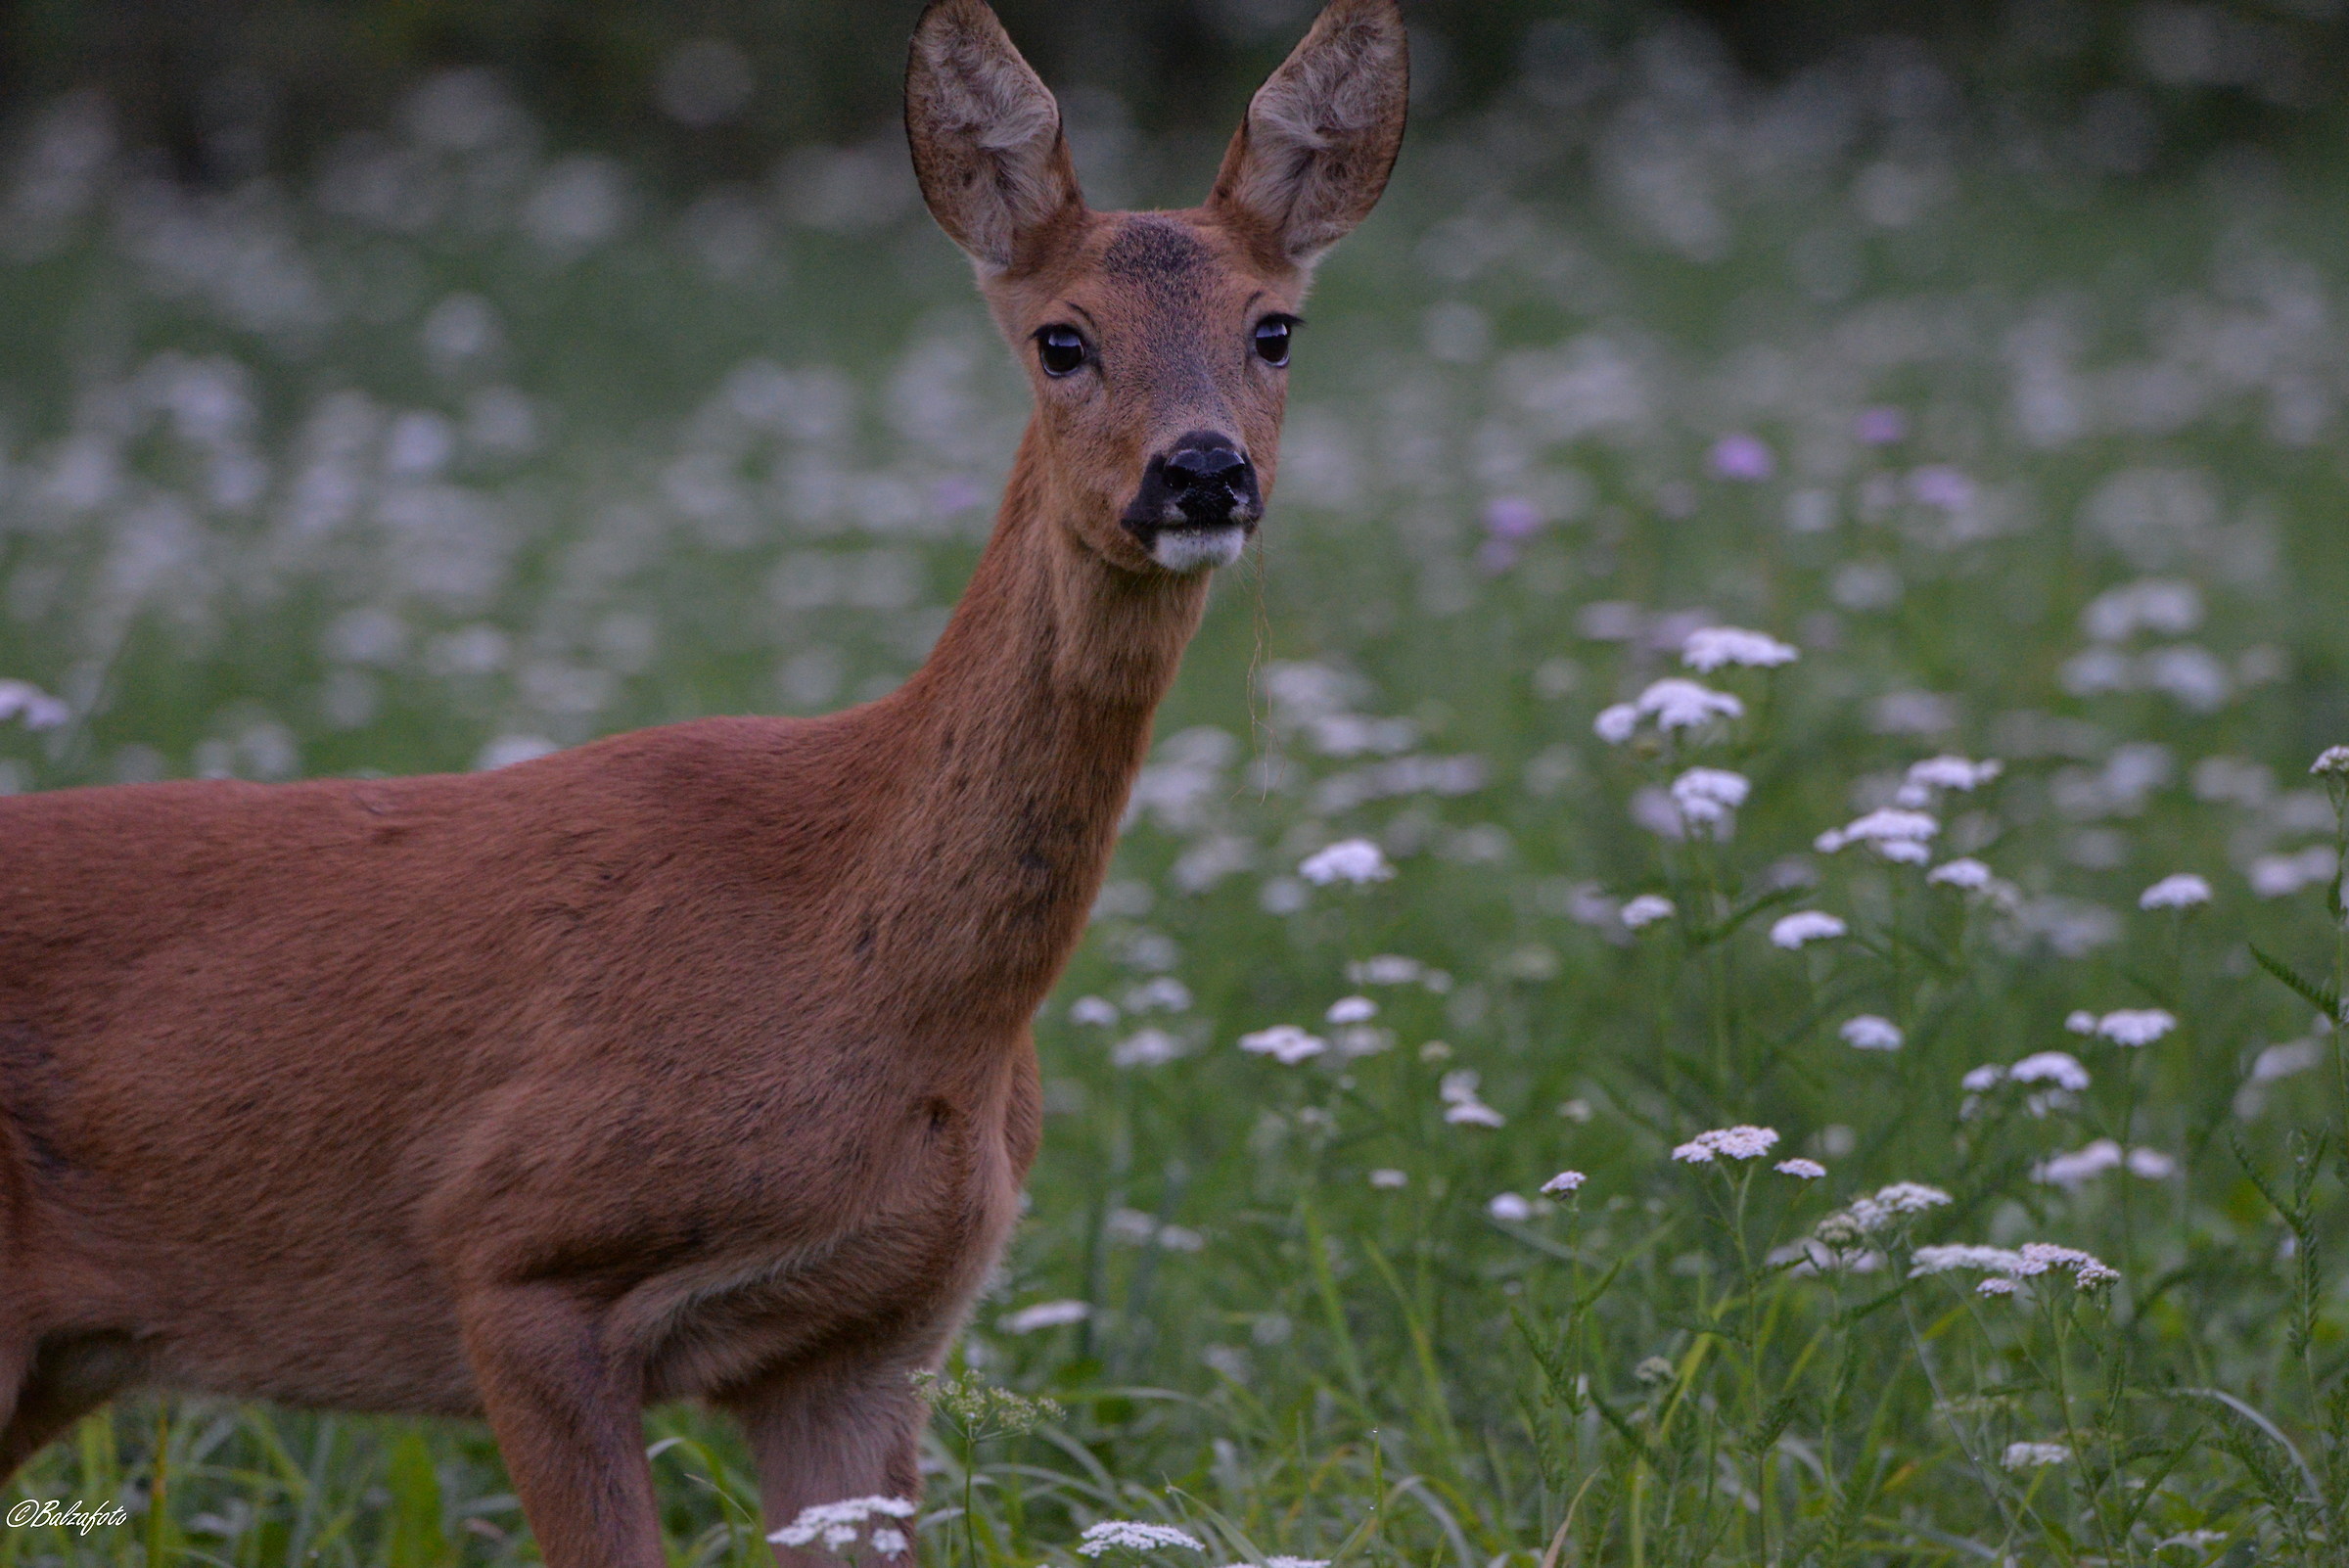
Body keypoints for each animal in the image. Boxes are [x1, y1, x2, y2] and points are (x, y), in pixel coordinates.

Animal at [0, 2, 1405, 1562]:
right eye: (1062, 339)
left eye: (1274, 328)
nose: (1201, 471)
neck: (866, 975)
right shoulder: (512, 1256)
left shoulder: (867, 1345)